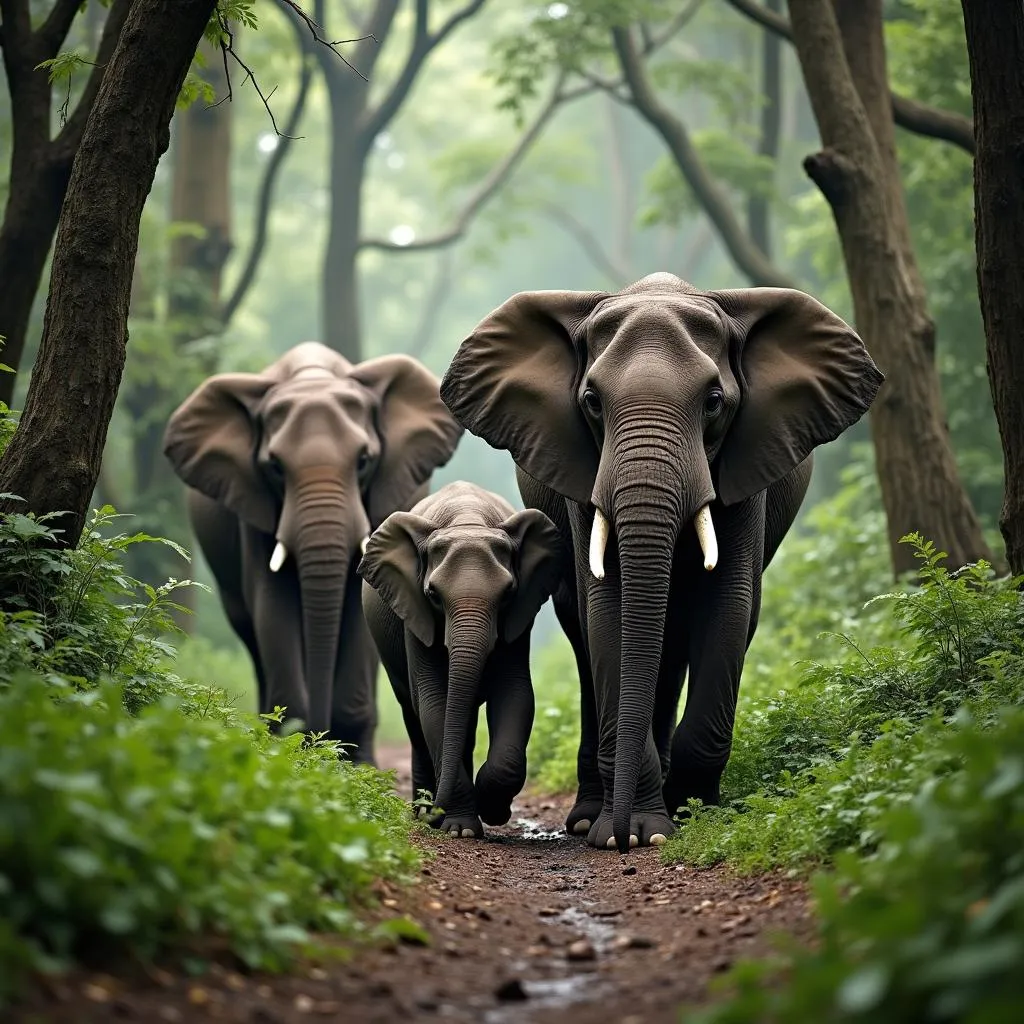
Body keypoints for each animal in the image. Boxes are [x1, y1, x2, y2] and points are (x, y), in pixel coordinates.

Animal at [162, 337, 460, 761]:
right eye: (275, 467)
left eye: (364, 461)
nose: (321, 742)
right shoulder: (254, 507)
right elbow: (273, 602)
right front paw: (291, 752)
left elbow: (359, 602)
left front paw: (358, 766)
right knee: (250, 631)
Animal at [360, 483, 565, 835]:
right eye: (432, 595)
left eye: (508, 593)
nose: (434, 813)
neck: (467, 520)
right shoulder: (415, 616)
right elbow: (433, 700)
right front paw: (460, 829)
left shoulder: (518, 620)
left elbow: (516, 693)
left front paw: (492, 811)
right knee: (413, 716)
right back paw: (425, 812)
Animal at [440, 270, 880, 847]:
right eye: (592, 401)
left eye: (714, 401)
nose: (623, 837)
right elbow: (607, 613)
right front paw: (630, 832)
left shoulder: (745, 464)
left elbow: (728, 606)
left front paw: (684, 815)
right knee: (586, 636)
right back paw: (589, 817)